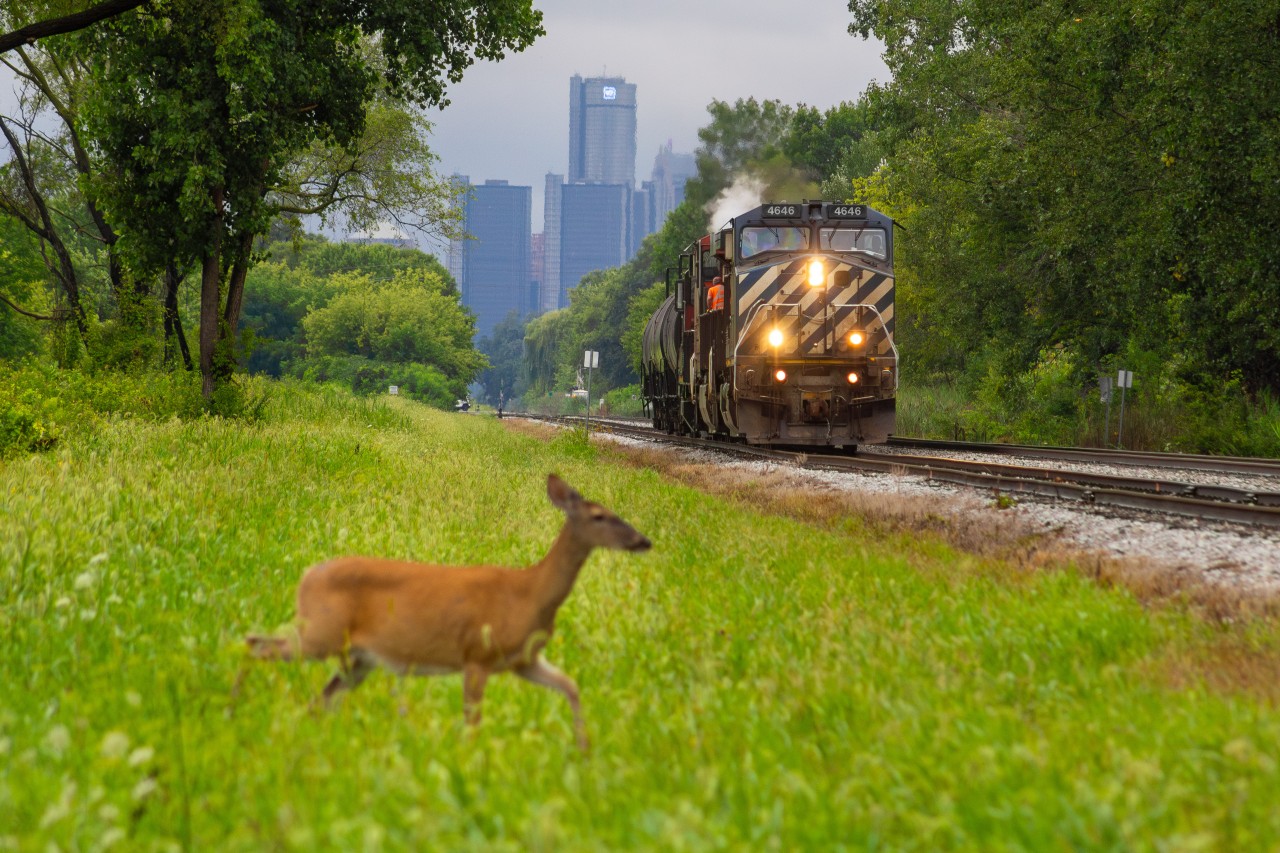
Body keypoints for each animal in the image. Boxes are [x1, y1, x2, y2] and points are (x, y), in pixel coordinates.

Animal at [245, 474, 651, 749]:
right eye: (599, 516)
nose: (643, 540)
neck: (530, 594)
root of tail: (306, 576)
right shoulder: (477, 654)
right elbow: (472, 720)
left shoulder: (524, 659)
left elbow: (571, 686)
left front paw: (584, 749)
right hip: (320, 631)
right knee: (257, 645)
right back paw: (238, 713)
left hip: (358, 656)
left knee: (318, 695)